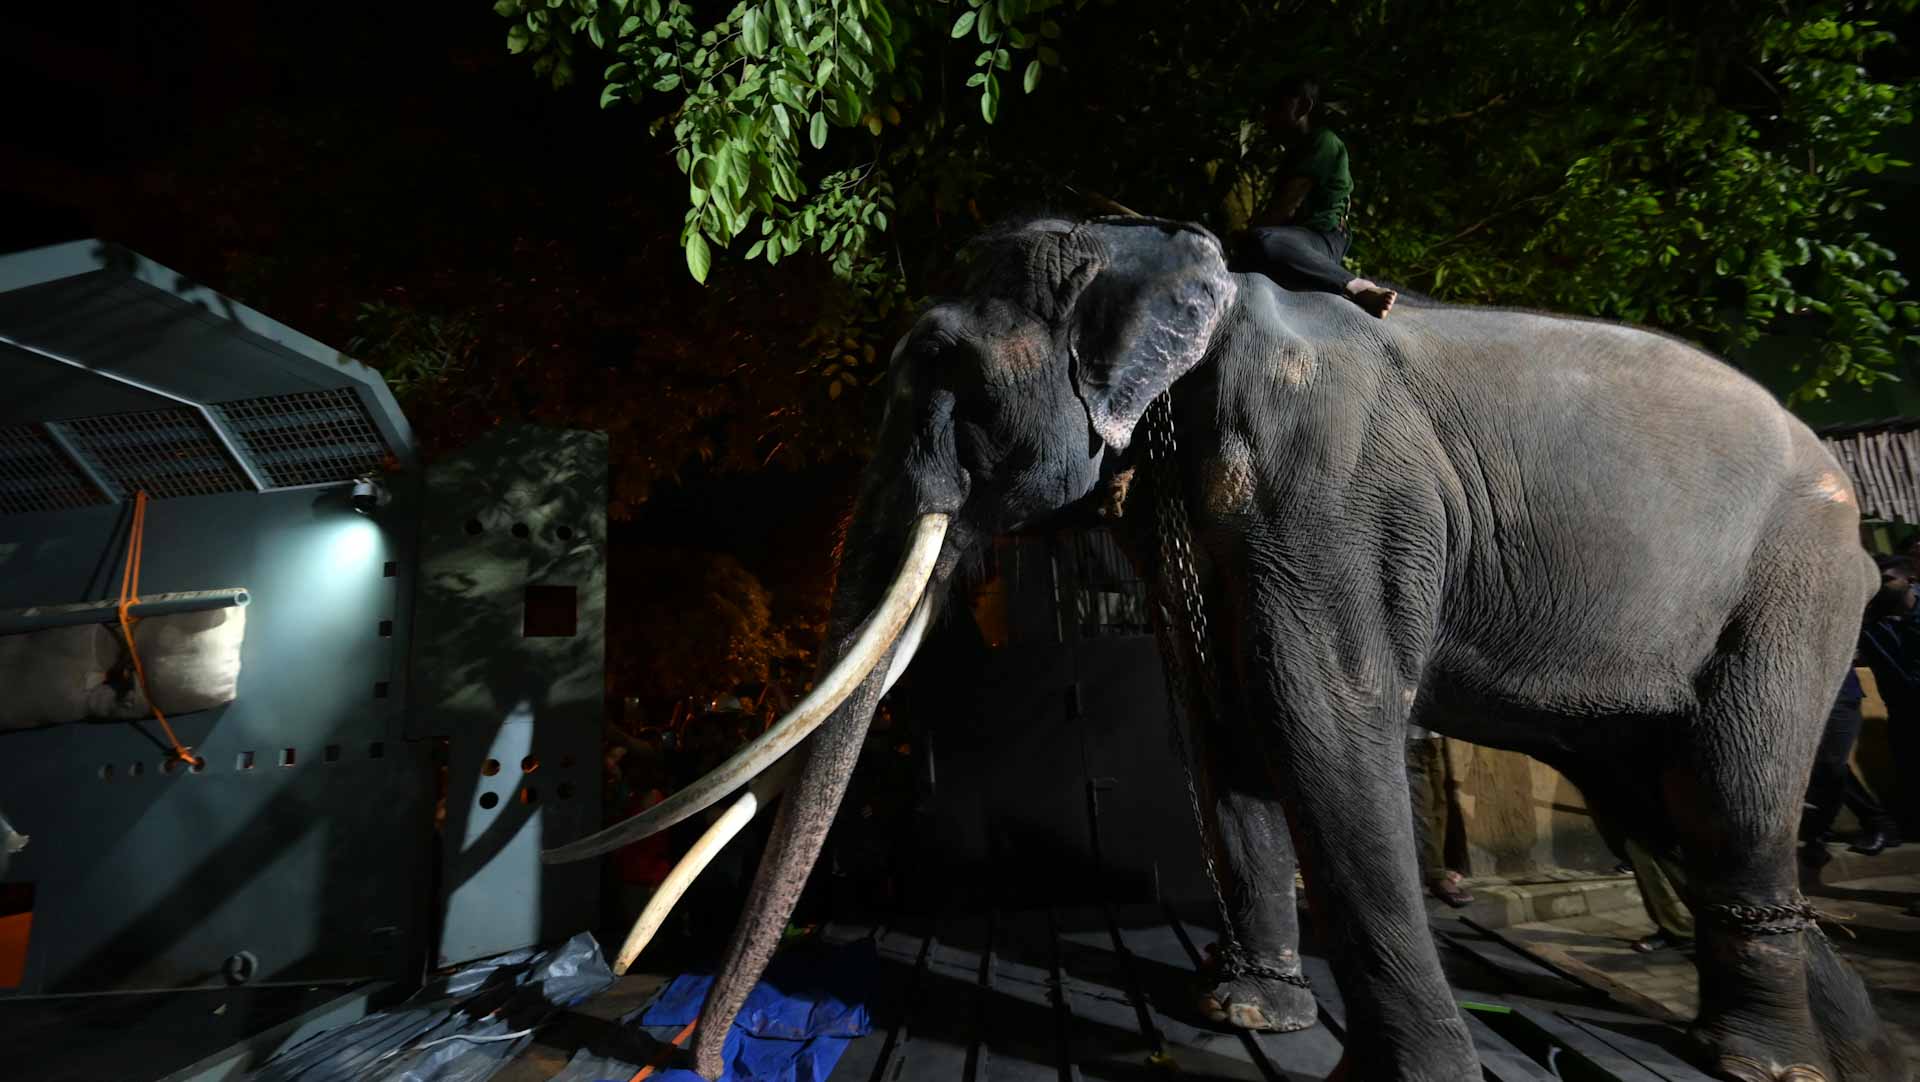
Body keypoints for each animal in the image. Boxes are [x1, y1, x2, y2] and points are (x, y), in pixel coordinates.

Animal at [554, 215, 1902, 1082]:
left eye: (941, 366)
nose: (688, 1053)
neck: (1155, 248)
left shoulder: (1324, 477)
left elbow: (1319, 712)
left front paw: (1391, 1070)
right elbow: (1216, 716)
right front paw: (1248, 1002)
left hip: (1798, 583)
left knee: (1730, 784)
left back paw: (1766, 1060)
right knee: (1669, 795)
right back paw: (1846, 1047)